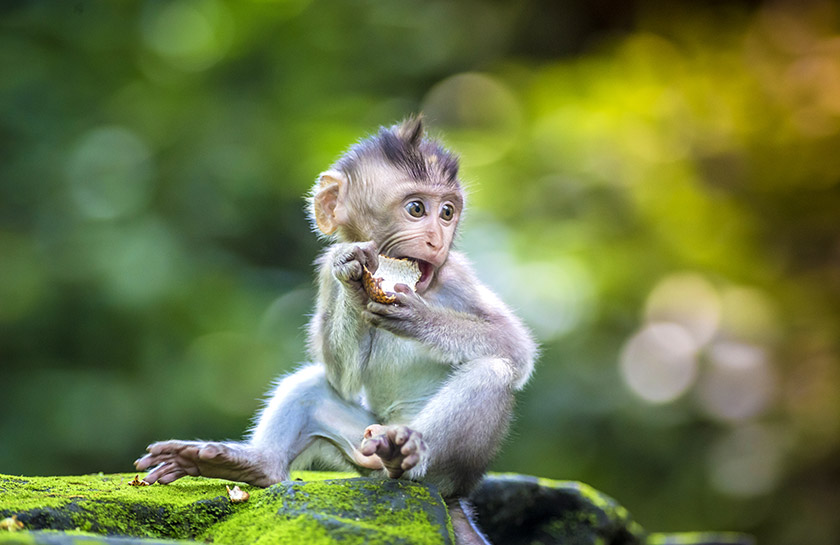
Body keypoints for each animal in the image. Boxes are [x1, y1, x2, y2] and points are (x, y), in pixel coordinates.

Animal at [135, 117, 537, 544]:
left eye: (447, 212)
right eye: (417, 209)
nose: (436, 239)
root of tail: (453, 498)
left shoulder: (457, 275)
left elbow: (515, 347)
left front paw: (417, 318)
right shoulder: (325, 268)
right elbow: (341, 378)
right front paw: (353, 279)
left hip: (444, 469)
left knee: (491, 371)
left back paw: (405, 452)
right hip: (360, 447)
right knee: (310, 385)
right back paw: (254, 465)